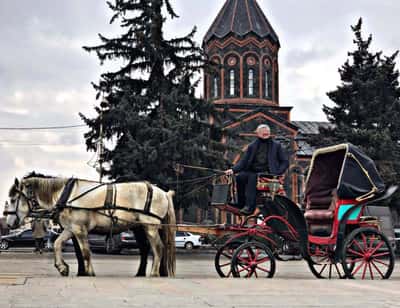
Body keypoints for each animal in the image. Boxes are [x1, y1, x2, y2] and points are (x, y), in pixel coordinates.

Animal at [5, 174, 175, 278]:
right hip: (141, 227)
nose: (8, 223)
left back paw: (154, 273)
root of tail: (164, 193)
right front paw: (62, 267)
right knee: (148, 249)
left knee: (158, 248)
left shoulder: (79, 230)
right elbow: (57, 244)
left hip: (150, 226)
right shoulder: (70, 228)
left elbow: (85, 252)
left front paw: (88, 272)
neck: (66, 196)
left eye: (13, 199)